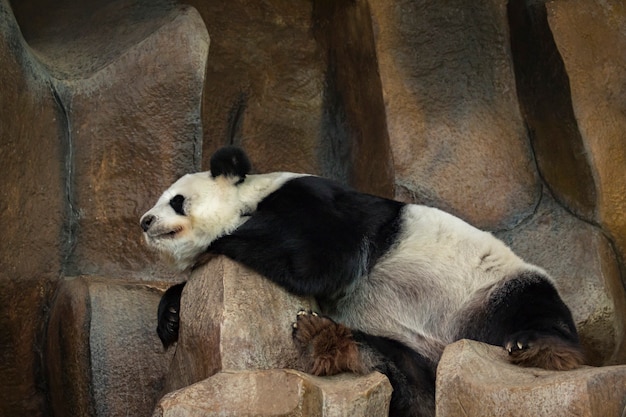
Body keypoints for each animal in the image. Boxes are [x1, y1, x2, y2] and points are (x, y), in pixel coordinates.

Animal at [141, 145, 580, 416]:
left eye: (176, 200)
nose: (145, 221)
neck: (253, 195)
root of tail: (447, 350)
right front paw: (171, 316)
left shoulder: (311, 200)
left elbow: (325, 260)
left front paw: (225, 239)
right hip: (408, 348)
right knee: (395, 371)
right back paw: (327, 341)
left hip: (489, 288)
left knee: (532, 310)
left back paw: (537, 348)